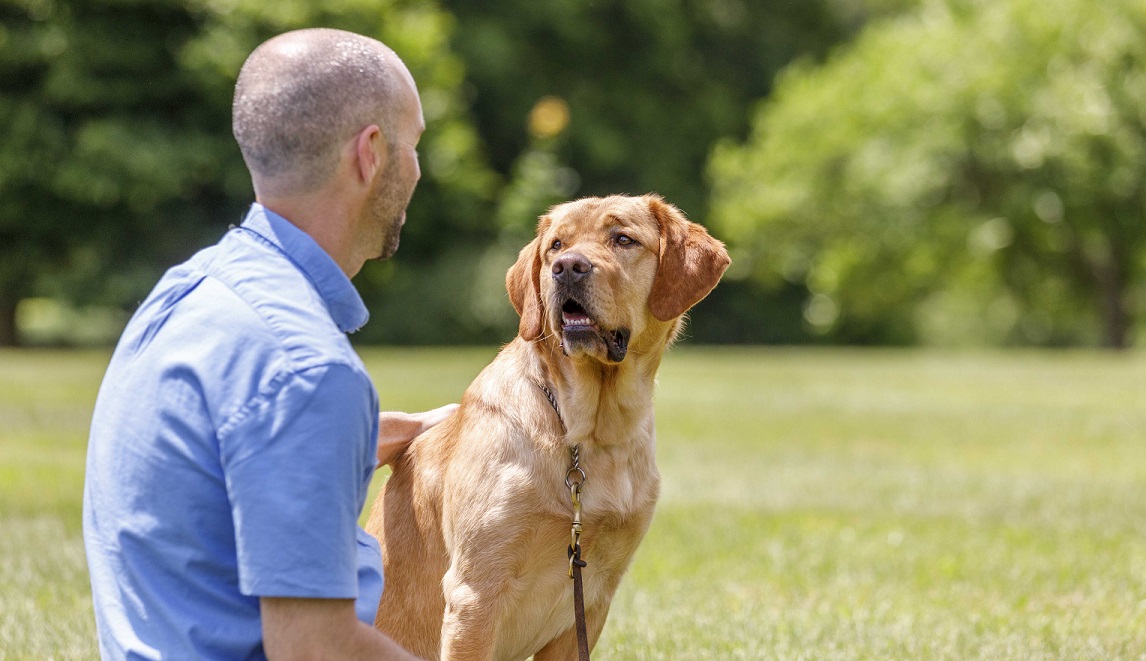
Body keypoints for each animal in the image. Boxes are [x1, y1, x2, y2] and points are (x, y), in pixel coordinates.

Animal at [362, 193, 728, 655]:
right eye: (556, 245)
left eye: (623, 239)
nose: (568, 267)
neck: (589, 432)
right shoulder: (475, 592)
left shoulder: (591, 599)